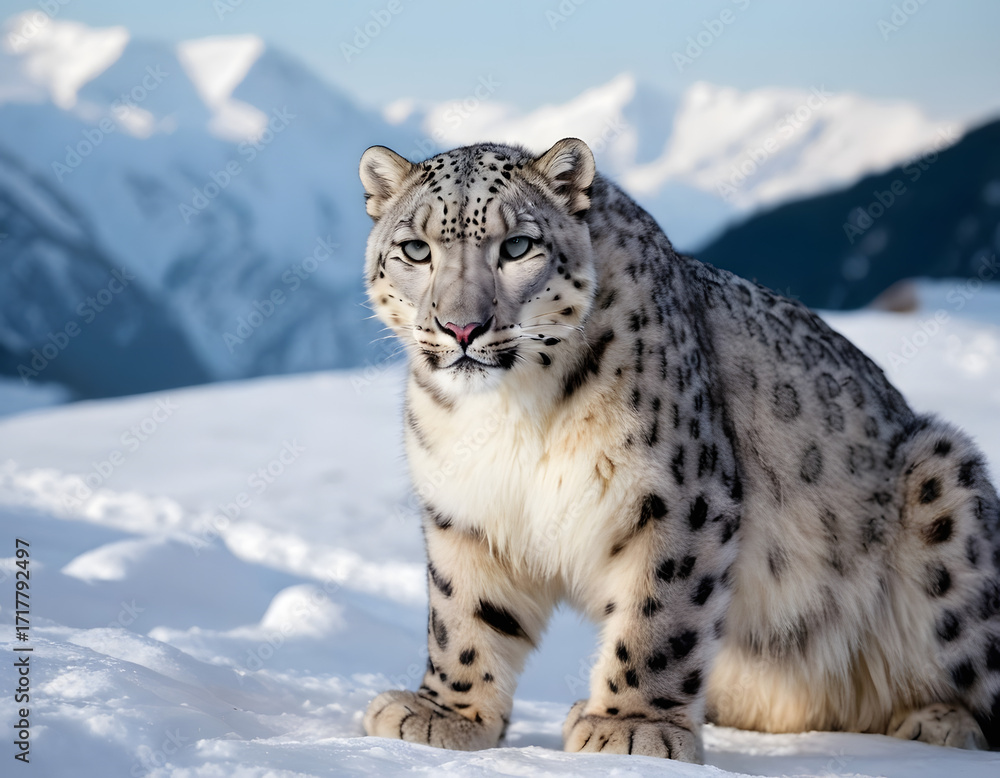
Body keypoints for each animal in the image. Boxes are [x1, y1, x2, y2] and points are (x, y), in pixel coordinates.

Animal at [357, 137, 1000, 762]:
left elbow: (659, 613)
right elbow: (464, 615)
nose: (461, 327)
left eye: (517, 246)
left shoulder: (678, 495)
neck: (510, 413)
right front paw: (445, 714)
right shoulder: (466, 509)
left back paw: (936, 721)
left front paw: (632, 728)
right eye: (415, 249)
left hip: (945, 486)